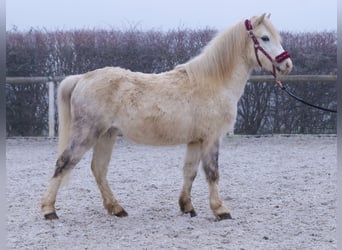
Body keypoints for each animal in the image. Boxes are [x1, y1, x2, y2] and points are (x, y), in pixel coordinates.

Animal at [40, 14, 292, 221]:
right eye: (265, 38)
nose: (286, 64)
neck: (213, 82)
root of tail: (83, 78)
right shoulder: (211, 138)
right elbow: (212, 173)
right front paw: (220, 210)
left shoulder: (195, 140)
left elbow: (190, 171)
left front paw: (187, 207)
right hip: (87, 133)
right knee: (64, 163)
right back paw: (49, 210)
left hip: (106, 135)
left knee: (99, 170)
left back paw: (116, 209)